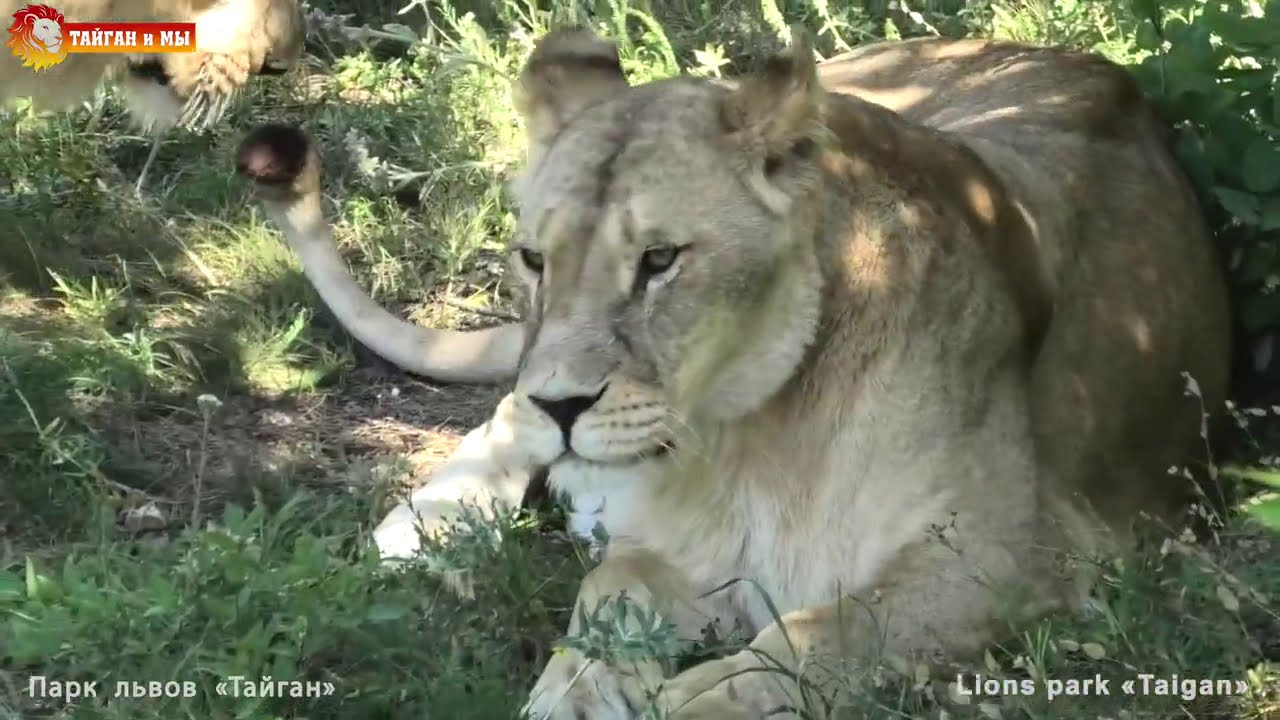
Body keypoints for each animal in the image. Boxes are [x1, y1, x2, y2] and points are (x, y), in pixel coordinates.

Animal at [235, 25, 1232, 719]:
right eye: (534, 260)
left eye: (660, 260)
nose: (565, 404)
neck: (749, 431)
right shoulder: (673, 552)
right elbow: (604, 599)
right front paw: (574, 694)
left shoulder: (1017, 554)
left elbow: (828, 635)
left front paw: (702, 695)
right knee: (503, 413)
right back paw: (429, 522)